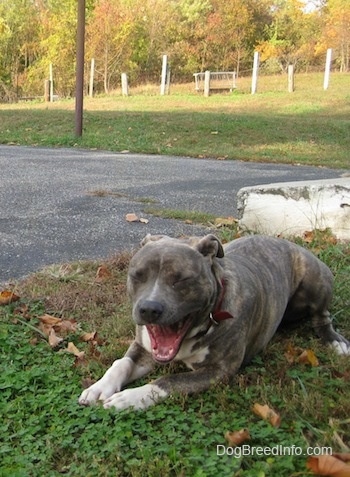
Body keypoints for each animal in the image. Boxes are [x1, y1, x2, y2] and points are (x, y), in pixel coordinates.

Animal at [78, 233, 348, 410]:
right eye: (137, 275)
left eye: (181, 279)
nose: (149, 309)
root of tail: (288, 243)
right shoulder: (143, 347)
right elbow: (120, 363)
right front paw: (100, 386)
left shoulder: (219, 371)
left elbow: (168, 381)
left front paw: (131, 398)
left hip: (315, 279)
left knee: (322, 317)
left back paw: (336, 342)